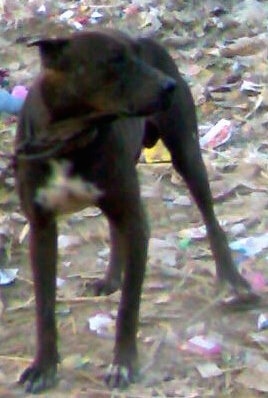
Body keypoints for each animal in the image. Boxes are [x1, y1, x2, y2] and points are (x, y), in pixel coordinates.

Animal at [14, 29, 249, 394]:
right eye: (115, 60)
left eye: (137, 56)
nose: (168, 85)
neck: (71, 138)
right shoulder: (41, 228)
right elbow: (45, 307)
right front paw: (44, 367)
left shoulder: (136, 223)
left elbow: (129, 307)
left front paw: (123, 364)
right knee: (114, 228)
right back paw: (111, 277)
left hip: (186, 154)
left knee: (211, 220)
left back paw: (232, 279)